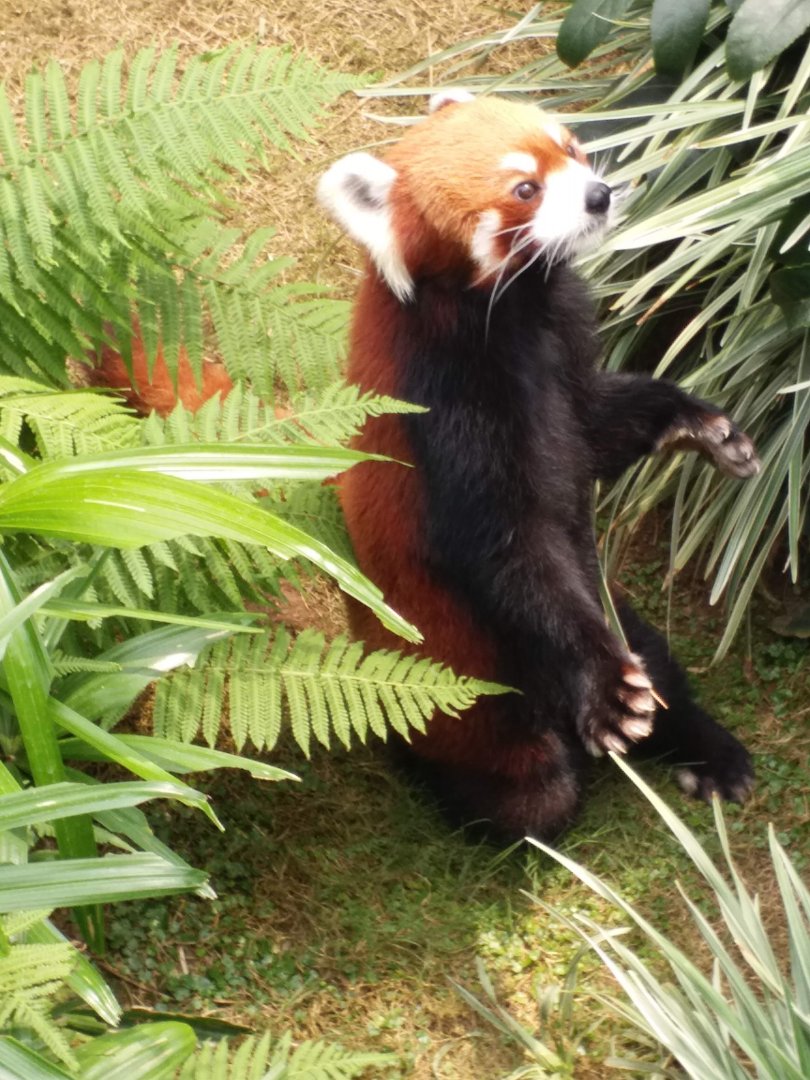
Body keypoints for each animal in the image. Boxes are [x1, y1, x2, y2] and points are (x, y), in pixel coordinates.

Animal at [318, 91, 759, 842]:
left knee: (657, 664)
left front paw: (695, 423)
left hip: (614, 605)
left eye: (572, 149)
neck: (520, 318)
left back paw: (710, 754)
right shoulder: (445, 403)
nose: (599, 194)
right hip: (475, 701)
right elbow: (512, 552)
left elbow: (599, 427)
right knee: (535, 792)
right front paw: (604, 685)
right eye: (525, 189)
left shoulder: (567, 355)